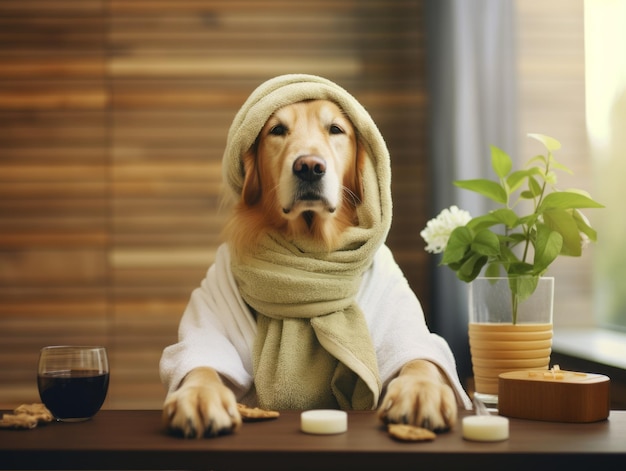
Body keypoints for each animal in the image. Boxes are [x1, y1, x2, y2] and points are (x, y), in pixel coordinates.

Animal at [161, 97, 464, 440]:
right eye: (277, 130)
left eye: (335, 129)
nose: (309, 166)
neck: (309, 255)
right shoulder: (212, 307)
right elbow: (202, 364)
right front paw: (198, 396)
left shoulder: (399, 316)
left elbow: (419, 359)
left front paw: (422, 392)